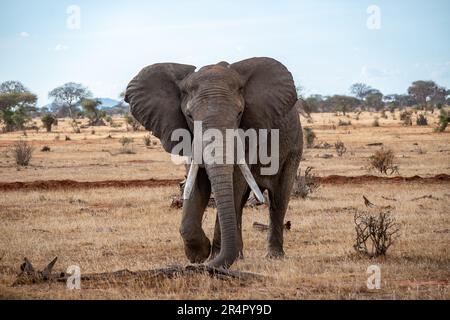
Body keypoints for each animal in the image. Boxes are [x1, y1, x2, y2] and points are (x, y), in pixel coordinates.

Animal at [125, 57, 304, 268]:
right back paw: (240, 255)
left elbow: (233, 184)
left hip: (294, 148)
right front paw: (199, 255)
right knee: (242, 203)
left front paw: (213, 257)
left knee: (278, 198)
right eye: (189, 116)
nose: (202, 265)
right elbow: (197, 184)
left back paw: (274, 256)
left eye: (240, 113)